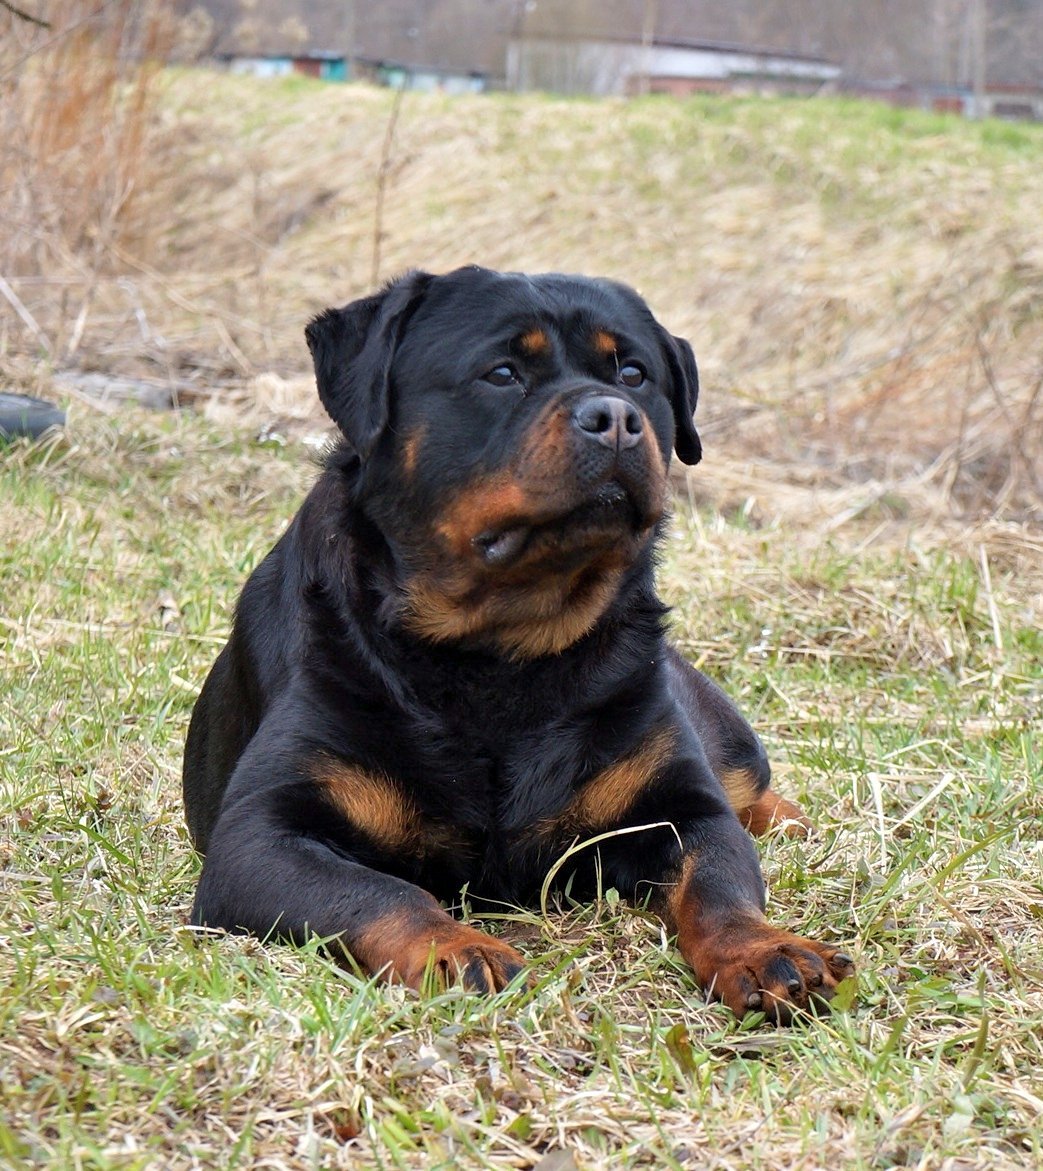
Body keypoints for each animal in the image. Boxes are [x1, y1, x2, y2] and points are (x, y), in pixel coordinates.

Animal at [186, 269, 856, 1021]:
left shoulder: (682, 808)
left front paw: (760, 947)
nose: (615, 416)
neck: (502, 654)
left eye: (633, 374)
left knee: (745, 783)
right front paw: (455, 948)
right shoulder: (260, 839)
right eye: (502, 373)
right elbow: (377, 891)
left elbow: (716, 878)